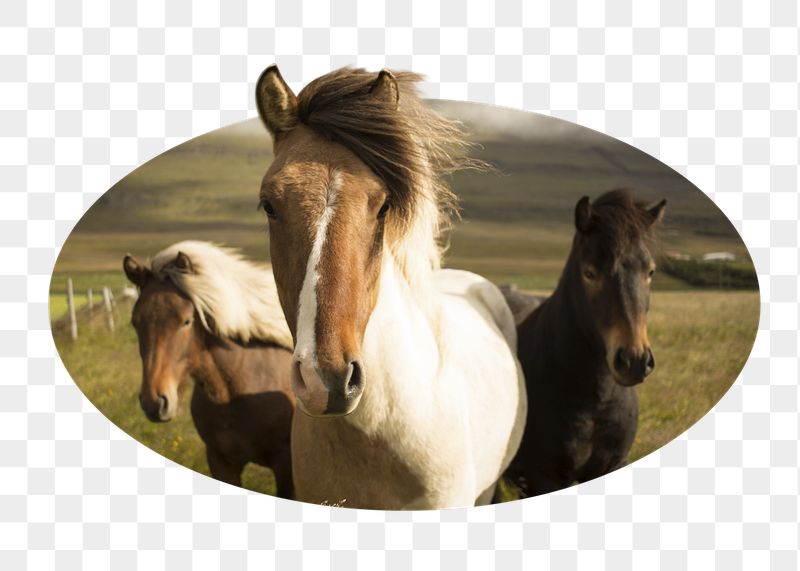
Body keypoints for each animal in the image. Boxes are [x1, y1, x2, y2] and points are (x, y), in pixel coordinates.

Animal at [505, 189, 666, 497]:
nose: (634, 361)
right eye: (590, 273)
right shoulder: (544, 478)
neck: (595, 401)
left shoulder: (612, 465)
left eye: (650, 271)